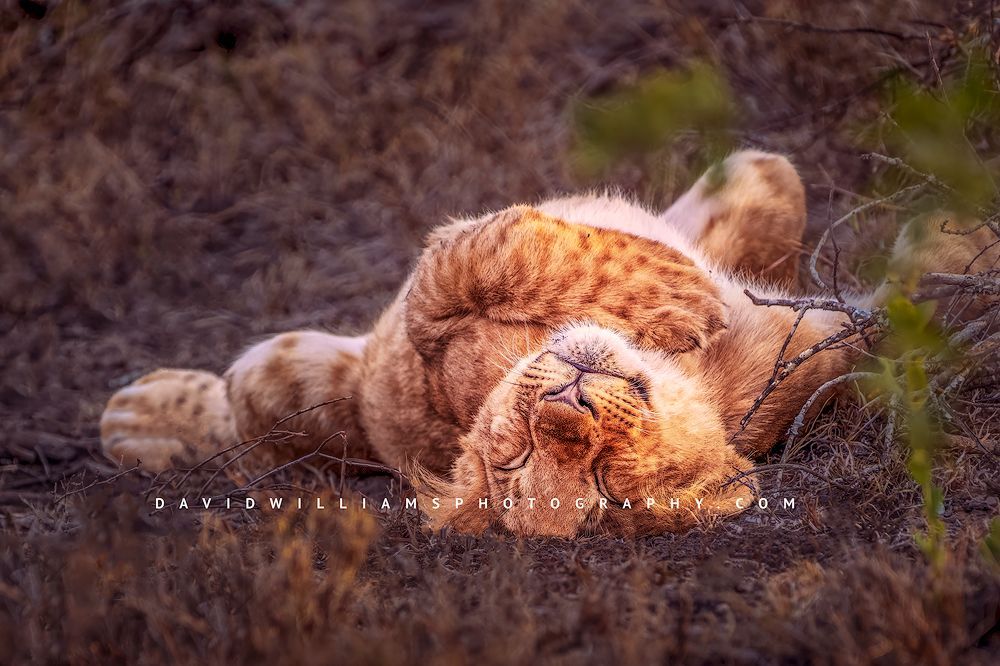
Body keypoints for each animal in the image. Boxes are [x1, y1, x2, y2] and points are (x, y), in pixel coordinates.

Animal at [99, 150, 996, 536]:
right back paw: (134, 418)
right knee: (242, 412)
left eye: (600, 474)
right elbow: (502, 250)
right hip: (291, 382)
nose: (568, 408)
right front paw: (681, 291)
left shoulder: (820, 332)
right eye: (522, 459)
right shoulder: (430, 333)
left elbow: (768, 185)